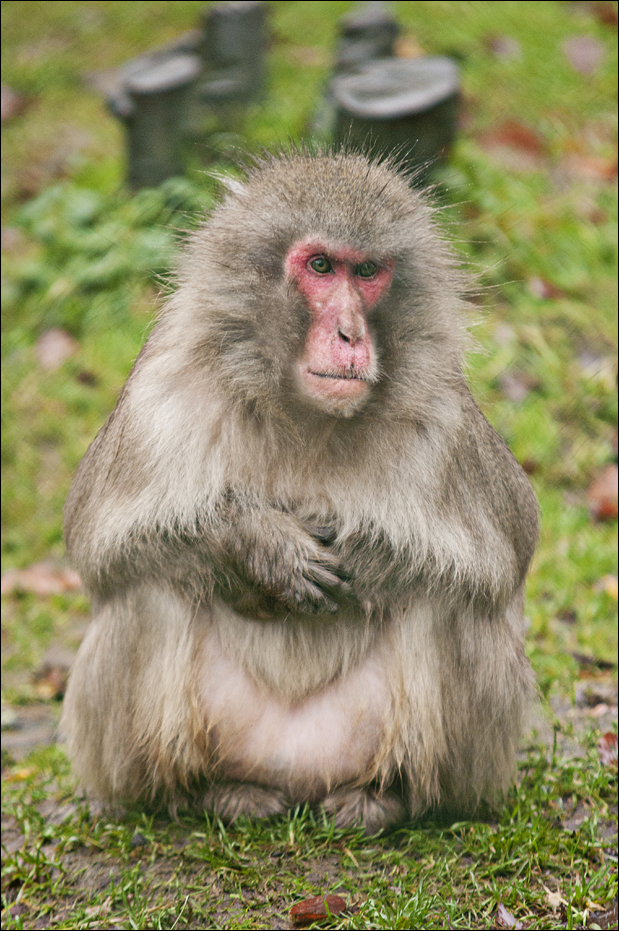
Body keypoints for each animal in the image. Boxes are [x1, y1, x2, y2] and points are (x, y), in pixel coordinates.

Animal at [60, 149, 538, 834]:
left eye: (366, 271)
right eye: (319, 266)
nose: (349, 334)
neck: (305, 414)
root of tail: (297, 776)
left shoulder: (441, 414)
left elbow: (505, 559)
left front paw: (369, 558)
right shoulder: (164, 394)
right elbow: (98, 544)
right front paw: (258, 547)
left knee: (448, 601)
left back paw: (391, 798)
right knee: (149, 587)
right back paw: (203, 792)